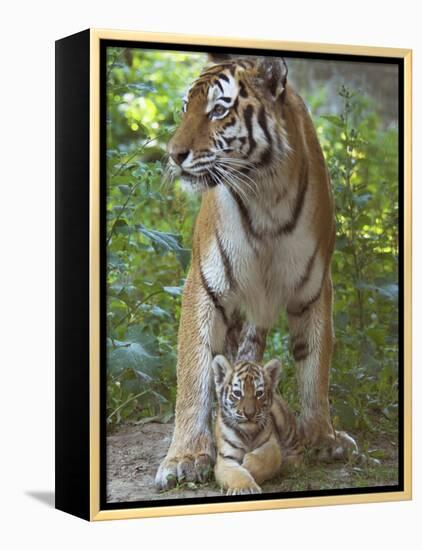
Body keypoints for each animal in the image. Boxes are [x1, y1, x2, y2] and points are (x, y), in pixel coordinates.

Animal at [155, 52, 356, 492]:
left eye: (217, 110)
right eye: (185, 108)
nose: (173, 155)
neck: (266, 192)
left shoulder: (315, 287)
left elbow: (315, 366)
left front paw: (323, 437)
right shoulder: (205, 284)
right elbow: (194, 372)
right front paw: (185, 458)